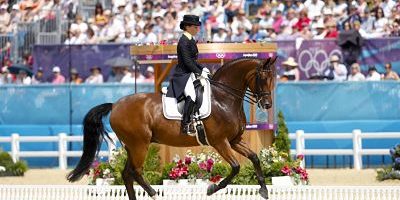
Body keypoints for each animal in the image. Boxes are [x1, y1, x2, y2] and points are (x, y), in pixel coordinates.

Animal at [67, 57, 276, 199]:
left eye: (272, 78)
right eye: (261, 77)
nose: (267, 104)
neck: (224, 98)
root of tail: (115, 105)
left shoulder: (234, 140)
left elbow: (255, 158)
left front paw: (264, 190)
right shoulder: (220, 142)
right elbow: (235, 167)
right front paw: (211, 189)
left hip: (132, 146)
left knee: (127, 173)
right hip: (139, 145)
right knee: (135, 172)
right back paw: (154, 194)